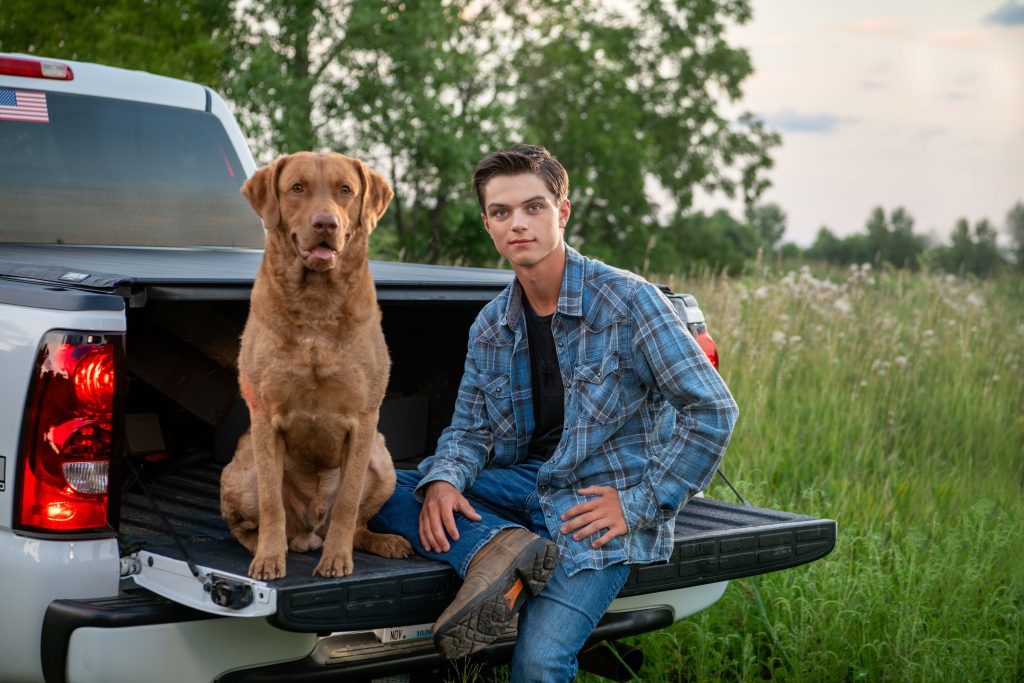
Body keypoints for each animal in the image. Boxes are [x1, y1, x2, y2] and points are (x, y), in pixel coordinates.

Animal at [220, 151, 412, 580]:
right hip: (240, 473)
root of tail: (309, 529)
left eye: (345, 190)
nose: (326, 223)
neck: (316, 305)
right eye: (297, 188)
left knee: (356, 523)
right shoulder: (265, 416)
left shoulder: (364, 419)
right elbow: (272, 504)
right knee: (245, 525)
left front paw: (337, 560)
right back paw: (271, 546)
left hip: (383, 461)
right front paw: (268, 558)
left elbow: (348, 503)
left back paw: (383, 542)